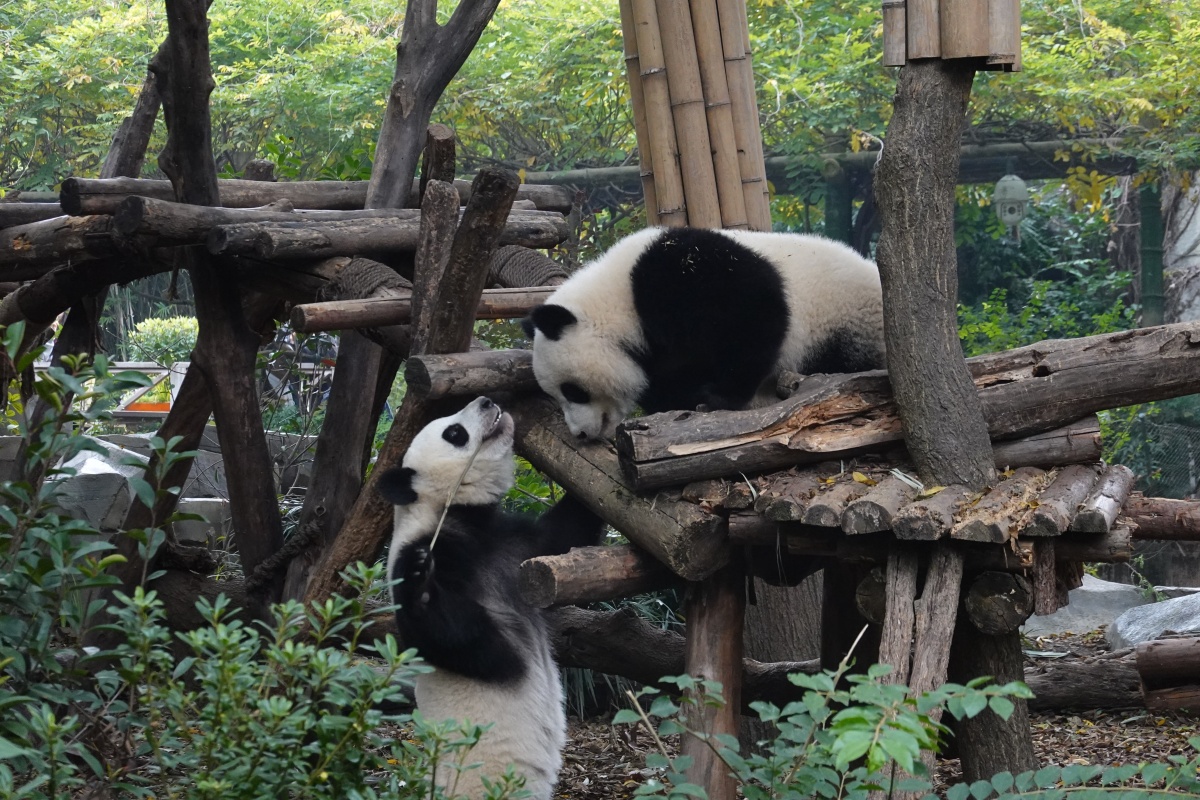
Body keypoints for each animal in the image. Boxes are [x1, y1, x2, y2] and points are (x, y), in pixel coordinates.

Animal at [379, 398, 604, 796]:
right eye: (454, 432)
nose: (486, 401)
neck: (457, 514)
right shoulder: (428, 548)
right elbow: (445, 641)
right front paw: (422, 588)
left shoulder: (517, 543)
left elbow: (567, 533)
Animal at [520, 225, 888, 441]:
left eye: (574, 391)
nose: (580, 434)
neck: (618, 303)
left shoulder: (679, 273)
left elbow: (752, 316)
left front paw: (717, 398)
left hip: (847, 322)